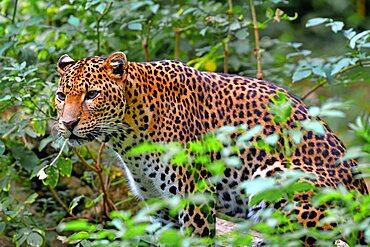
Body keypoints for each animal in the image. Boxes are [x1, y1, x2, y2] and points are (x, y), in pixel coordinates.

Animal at [54, 51, 368, 245]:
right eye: (60, 96)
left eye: (92, 94)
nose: (68, 123)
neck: (128, 136)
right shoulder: (160, 207)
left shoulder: (195, 198)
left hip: (279, 175)